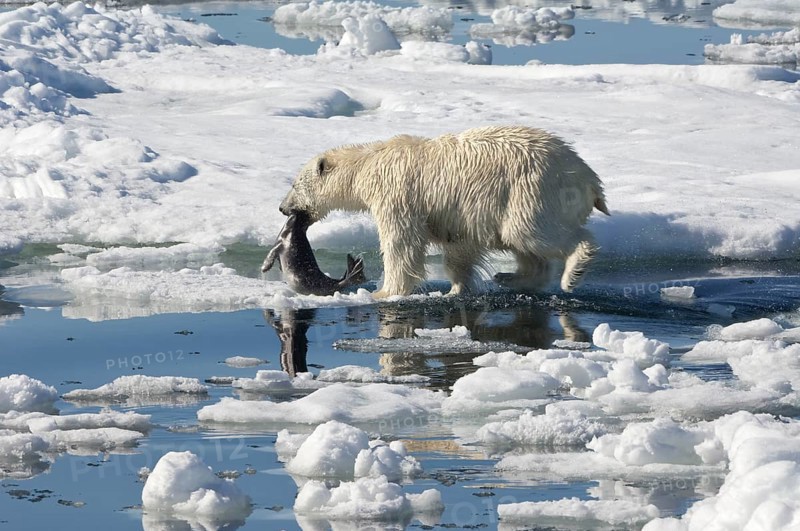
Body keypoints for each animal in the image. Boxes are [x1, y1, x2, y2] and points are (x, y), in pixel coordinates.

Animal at [279, 125, 609, 298]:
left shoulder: (397, 193)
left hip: (532, 190)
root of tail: (589, 179)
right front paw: (456, 289)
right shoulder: (459, 213)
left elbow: (402, 242)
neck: (368, 164)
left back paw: (572, 273)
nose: (283, 208)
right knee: (523, 243)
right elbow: (459, 247)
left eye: (294, 184)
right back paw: (510, 278)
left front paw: (384, 292)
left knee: (533, 232)